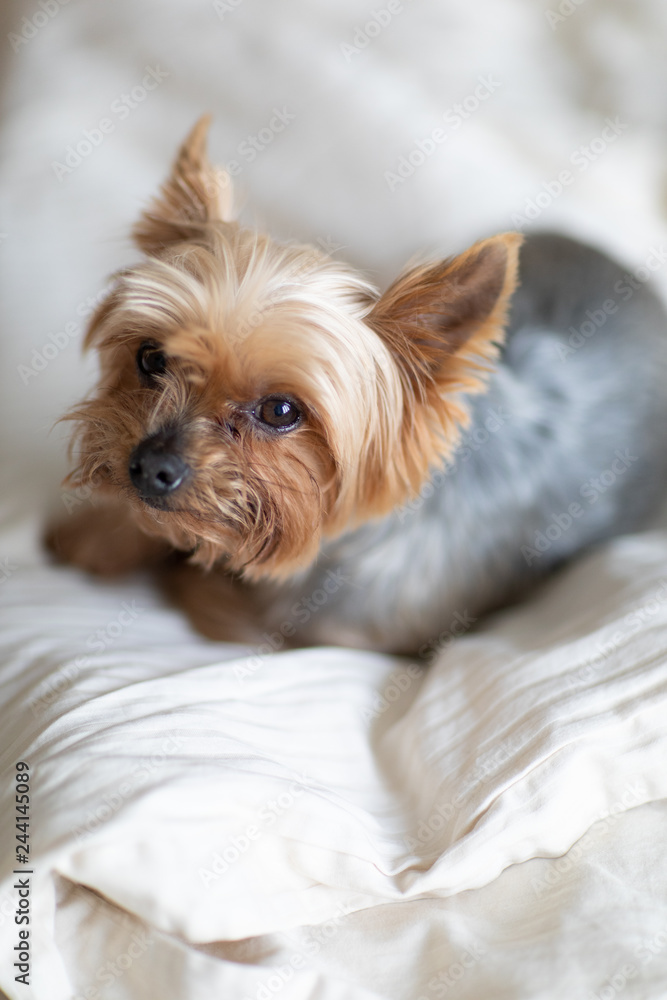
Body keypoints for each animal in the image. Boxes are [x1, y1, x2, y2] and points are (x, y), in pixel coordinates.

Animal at [45, 117, 667, 656]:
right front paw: (101, 531)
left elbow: (215, 591)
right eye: (151, 358)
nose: (150, 467)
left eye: (281, 411)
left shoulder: (324, 632)